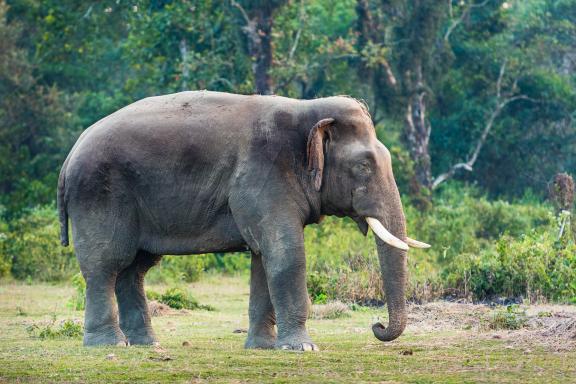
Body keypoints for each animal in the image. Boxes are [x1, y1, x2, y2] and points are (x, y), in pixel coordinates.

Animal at [58, 91, 428, 352]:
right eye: (364, 166)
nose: (377, 326)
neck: (306, 110)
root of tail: (69, 156)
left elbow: (263, 257)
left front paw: (262, 348)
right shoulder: (263, 175)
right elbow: (286, 253)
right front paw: (303, 348)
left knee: (135, 268)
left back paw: (145, 344)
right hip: (98, 194)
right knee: (106, 265)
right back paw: (109, 344)